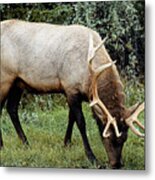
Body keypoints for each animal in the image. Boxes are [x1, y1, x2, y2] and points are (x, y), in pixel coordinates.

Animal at [0, 19, 145, 169]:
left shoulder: (74, 93)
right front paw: (92, 158)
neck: (88, 78)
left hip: (17, 83)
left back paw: (25, 143)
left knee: (11, 108)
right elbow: (80, 122)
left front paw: (66, 144)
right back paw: (3, 146)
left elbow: (71, 118)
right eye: (108, 135)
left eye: (125, 138)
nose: (117, 164)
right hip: (5, 78)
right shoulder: (70, 88)